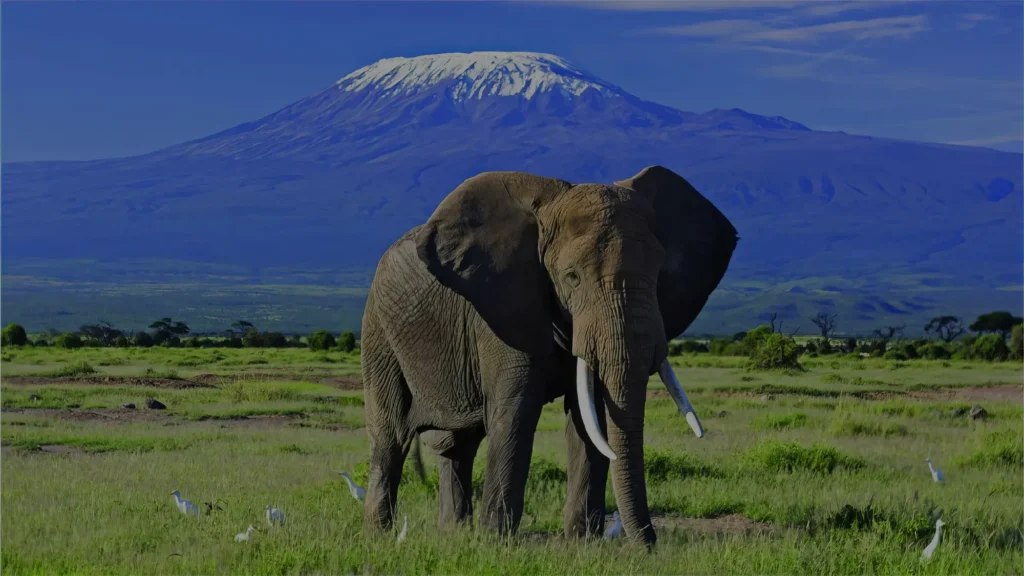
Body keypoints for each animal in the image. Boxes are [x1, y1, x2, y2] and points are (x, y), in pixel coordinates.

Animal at [359, 165, 738, 546]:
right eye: (572, 277)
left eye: (659, 273)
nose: (649, 547)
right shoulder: (502, 310)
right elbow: (517, 409)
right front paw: (497, 543)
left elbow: (589, 414)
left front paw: (583, 544)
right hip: (378, 330)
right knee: (391, 435)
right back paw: (380, 536)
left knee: (458, 444)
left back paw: (455, 534)